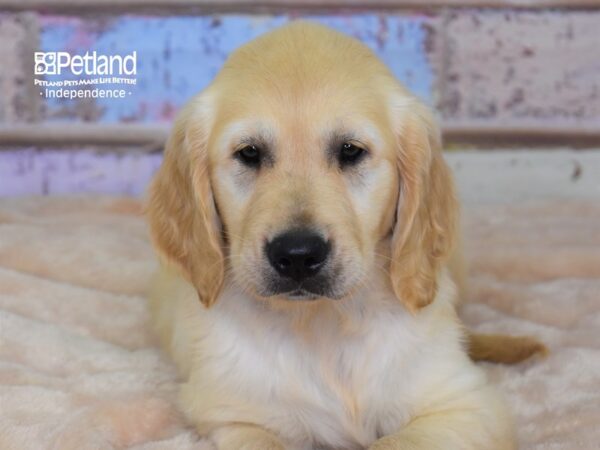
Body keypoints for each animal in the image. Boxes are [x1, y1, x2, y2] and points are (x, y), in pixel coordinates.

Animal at [146, 22, 516, 450]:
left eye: (351, 151)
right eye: (249, 153)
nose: (297, 255)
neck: (323, 324)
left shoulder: (465, 405)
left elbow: (395, 442)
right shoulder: (232, 415)